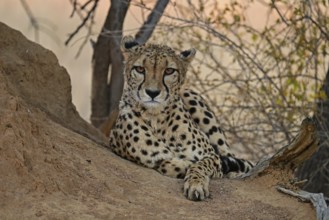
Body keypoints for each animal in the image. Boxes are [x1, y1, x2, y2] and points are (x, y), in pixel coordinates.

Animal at [109, 36, 252, 201]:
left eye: (169, 71)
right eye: (140, 69)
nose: (152, 92)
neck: (156, 118)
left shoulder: (211, 156)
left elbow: (200, 164)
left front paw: (196, 184)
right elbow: (168, 163)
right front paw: (182, 165)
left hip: (191, 96)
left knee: (230, 155)